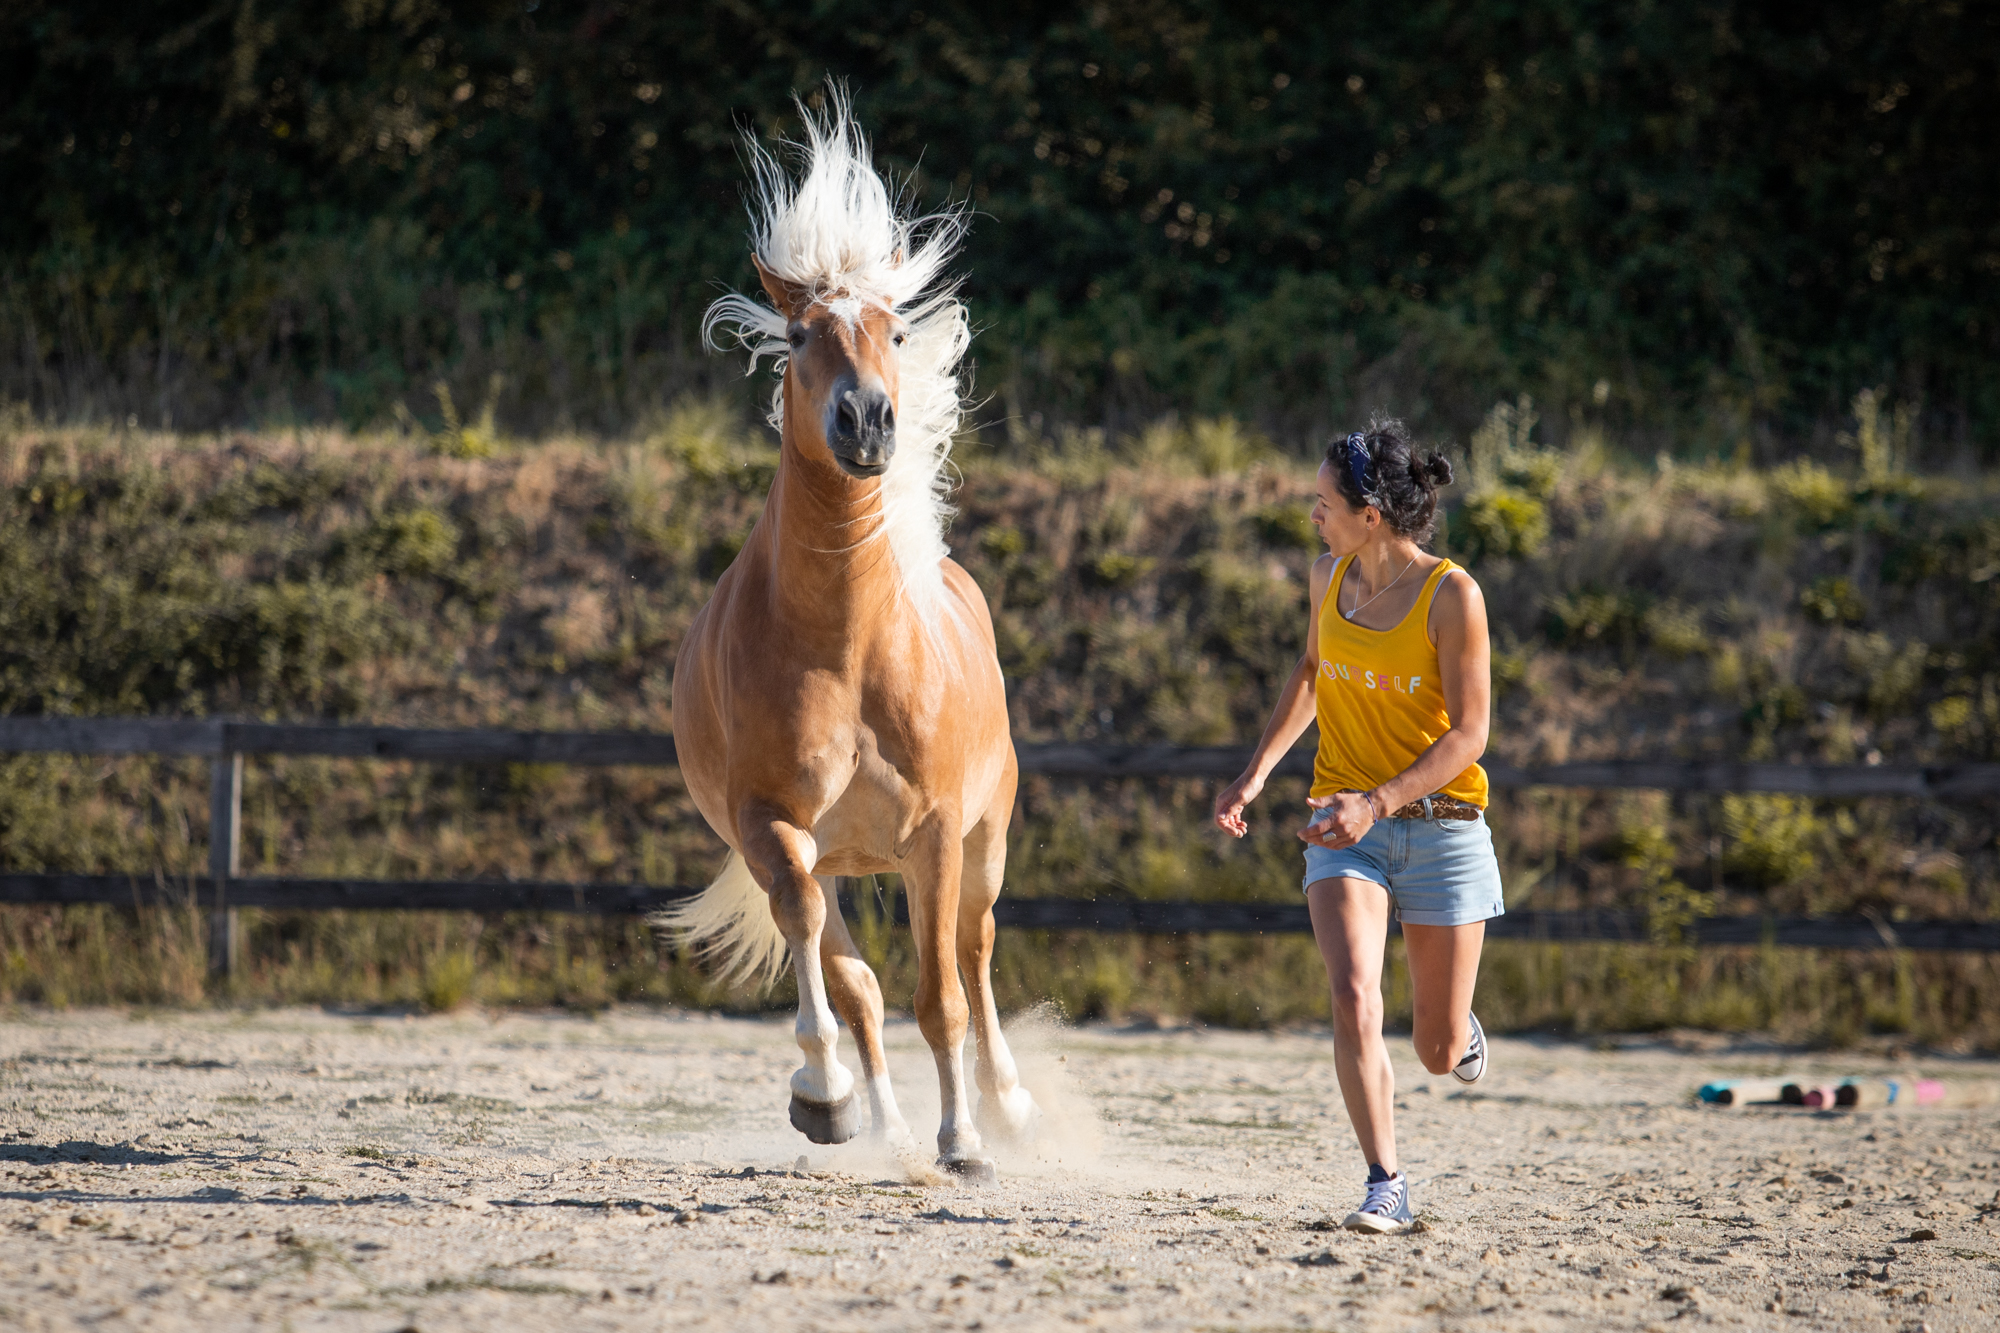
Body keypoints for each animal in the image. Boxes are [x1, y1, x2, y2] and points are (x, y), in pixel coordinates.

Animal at [668, 93, 1048, 1176]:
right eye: (799, 335)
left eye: (890, 331)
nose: (868, 422)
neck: (846, 646)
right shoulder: (770, 827)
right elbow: (841, 973)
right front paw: (828, 1098)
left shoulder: (936, 834)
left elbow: (944, 994)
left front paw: (967, 1140)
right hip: (830, 857)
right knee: (859, 982)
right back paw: (883, 1126)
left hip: (986, 838)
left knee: (974, 952)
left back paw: (1006, 1106)